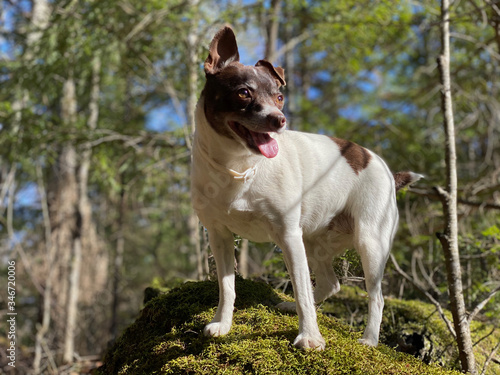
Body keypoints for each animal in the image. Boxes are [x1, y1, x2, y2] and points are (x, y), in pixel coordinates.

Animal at [191, 25, 422, 350]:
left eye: (279, 97)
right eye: (243, 92)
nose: (279, 120)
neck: (238, 167)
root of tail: (388, 171)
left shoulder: (288, 236)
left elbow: (301, 288)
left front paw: (310, 337)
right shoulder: (219, 236)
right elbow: (227, 287)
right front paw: (222, 324)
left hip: (370, 243)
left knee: (375, 298)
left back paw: (369, 339)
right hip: (315, 242)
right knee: (331, 283)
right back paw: (293, 305)